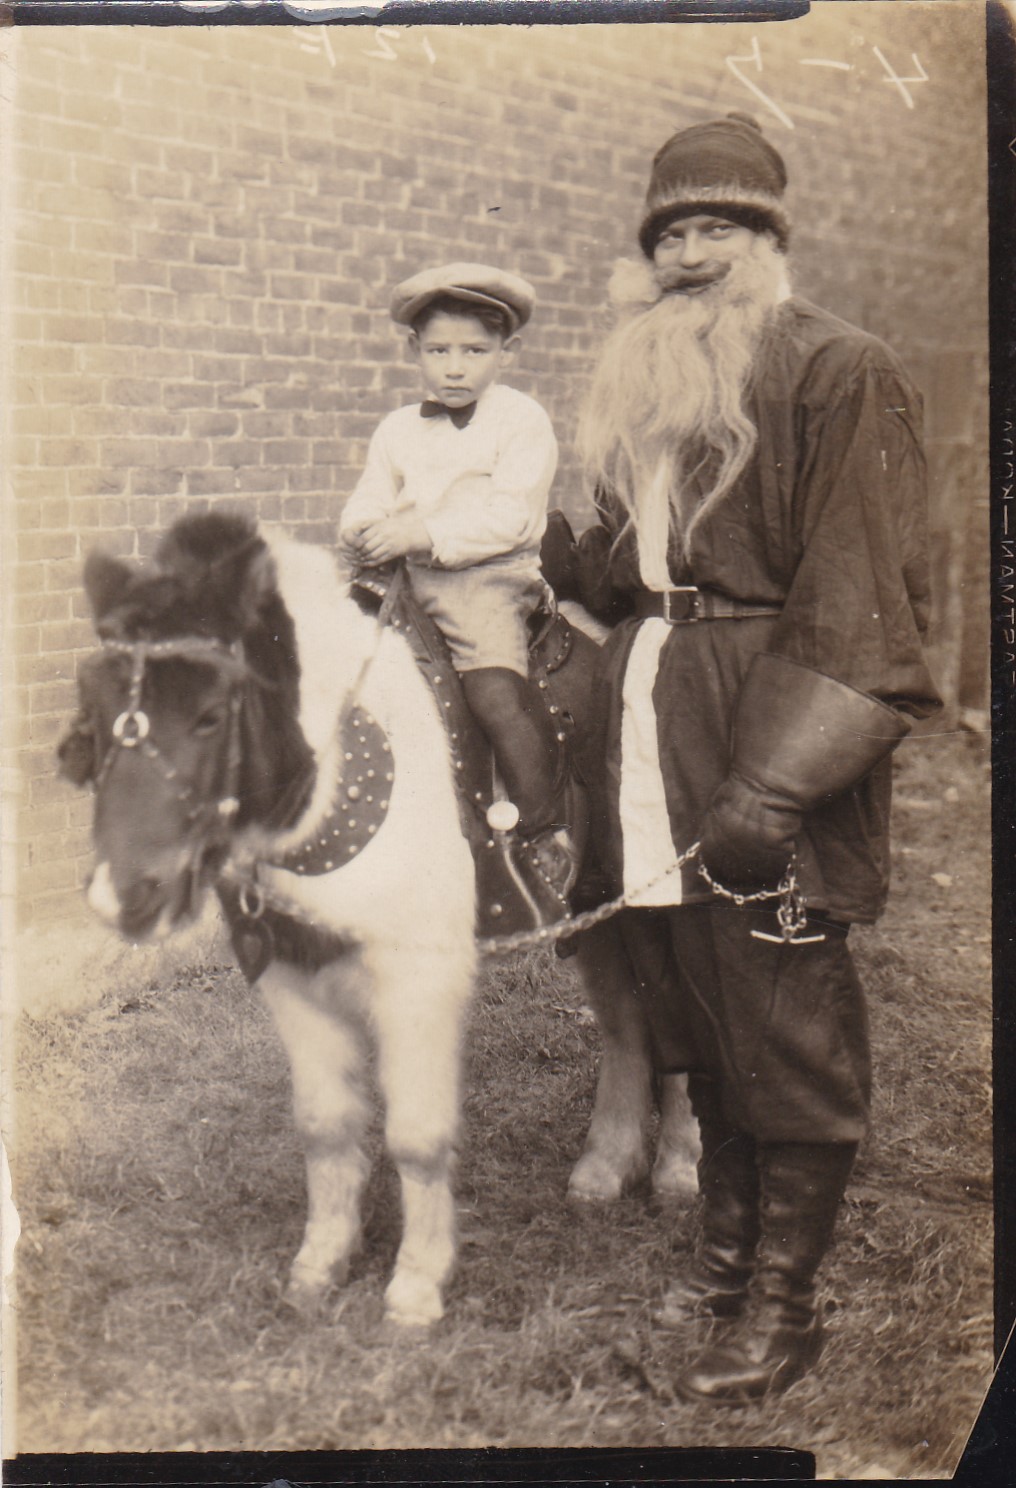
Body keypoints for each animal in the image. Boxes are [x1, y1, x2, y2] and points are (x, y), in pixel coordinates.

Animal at [61, 511, 699, 1327]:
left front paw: (417, 1285)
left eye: (209, 716)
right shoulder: (294, 983)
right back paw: (605, 1167)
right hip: (594, 913)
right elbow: (325, 1126)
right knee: (626, 1024)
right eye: (95, 711)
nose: (124, 893)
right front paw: (320, 1265)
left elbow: (417, 1136)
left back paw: (679, 1169)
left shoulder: (417, 986)